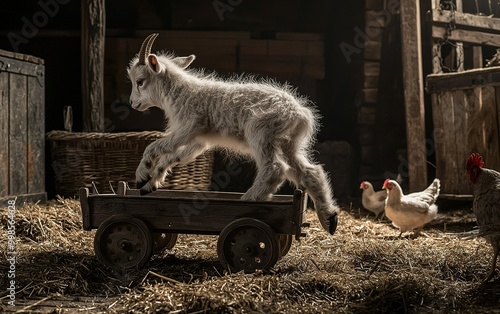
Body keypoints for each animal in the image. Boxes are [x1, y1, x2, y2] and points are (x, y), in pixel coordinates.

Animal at [129, 33, 340, 233]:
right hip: (288, 143)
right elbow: (174, 156)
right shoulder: (199, 140)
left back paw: (248, 200)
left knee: (275, 169)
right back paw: (329, 218)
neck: (179, 93)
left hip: (261, 133)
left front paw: (142, 175)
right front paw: (151, 183)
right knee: (309, 172)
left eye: (140, 81)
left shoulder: (188, 127)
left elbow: (156, 146)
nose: (132, 103)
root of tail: (300, 114)